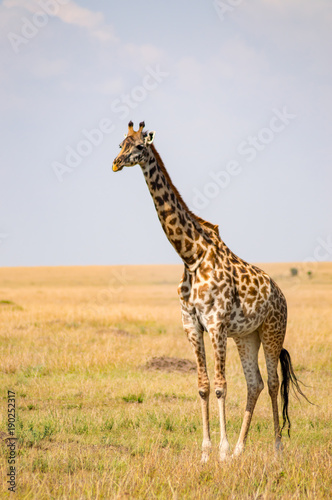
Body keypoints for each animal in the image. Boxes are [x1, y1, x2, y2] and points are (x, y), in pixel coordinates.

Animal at [112, 120, 312, 460]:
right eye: (120, 143)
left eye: (139, 146)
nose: (115, 163)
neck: (191, 255)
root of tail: (281, 296)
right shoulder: (191, 325)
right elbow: (203, 385)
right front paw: (207, 452)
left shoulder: (216, 323)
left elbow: (220, 385)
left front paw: (221, 449)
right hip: (246, 336)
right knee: (255, 383)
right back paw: (241, 450)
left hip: (273, 330)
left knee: (273, 382)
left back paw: (276, 450)